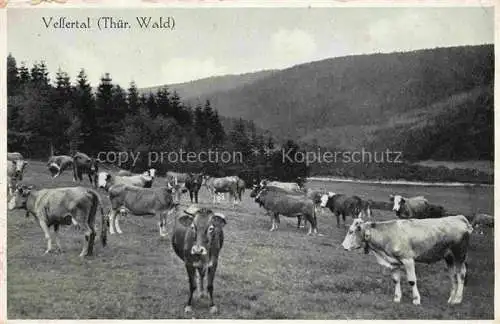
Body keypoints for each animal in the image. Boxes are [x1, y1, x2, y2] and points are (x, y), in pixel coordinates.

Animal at [342, 216, 474, 306]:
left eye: (351, 231)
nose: (343, 246)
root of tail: (459, 218)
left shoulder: (408, 259)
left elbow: (412, 281)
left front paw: (416, 299)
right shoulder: (394, 262)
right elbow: (396, 280)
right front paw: (396, 298)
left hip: (459, 255)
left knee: (461, 274)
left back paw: (457, 299)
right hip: (449, 257)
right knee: (453, 275)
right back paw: (451, 299)